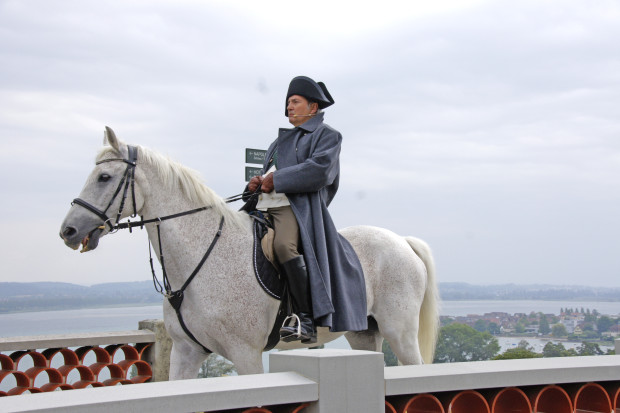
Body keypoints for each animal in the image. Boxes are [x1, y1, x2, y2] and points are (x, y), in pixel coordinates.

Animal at [57, 127, 436, 378]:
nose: (68, 231)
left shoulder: (246, 355)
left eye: (105, 177)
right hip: (364, 334)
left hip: (400, 333)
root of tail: (402, 241)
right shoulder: (185, 352)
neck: (200, 258)